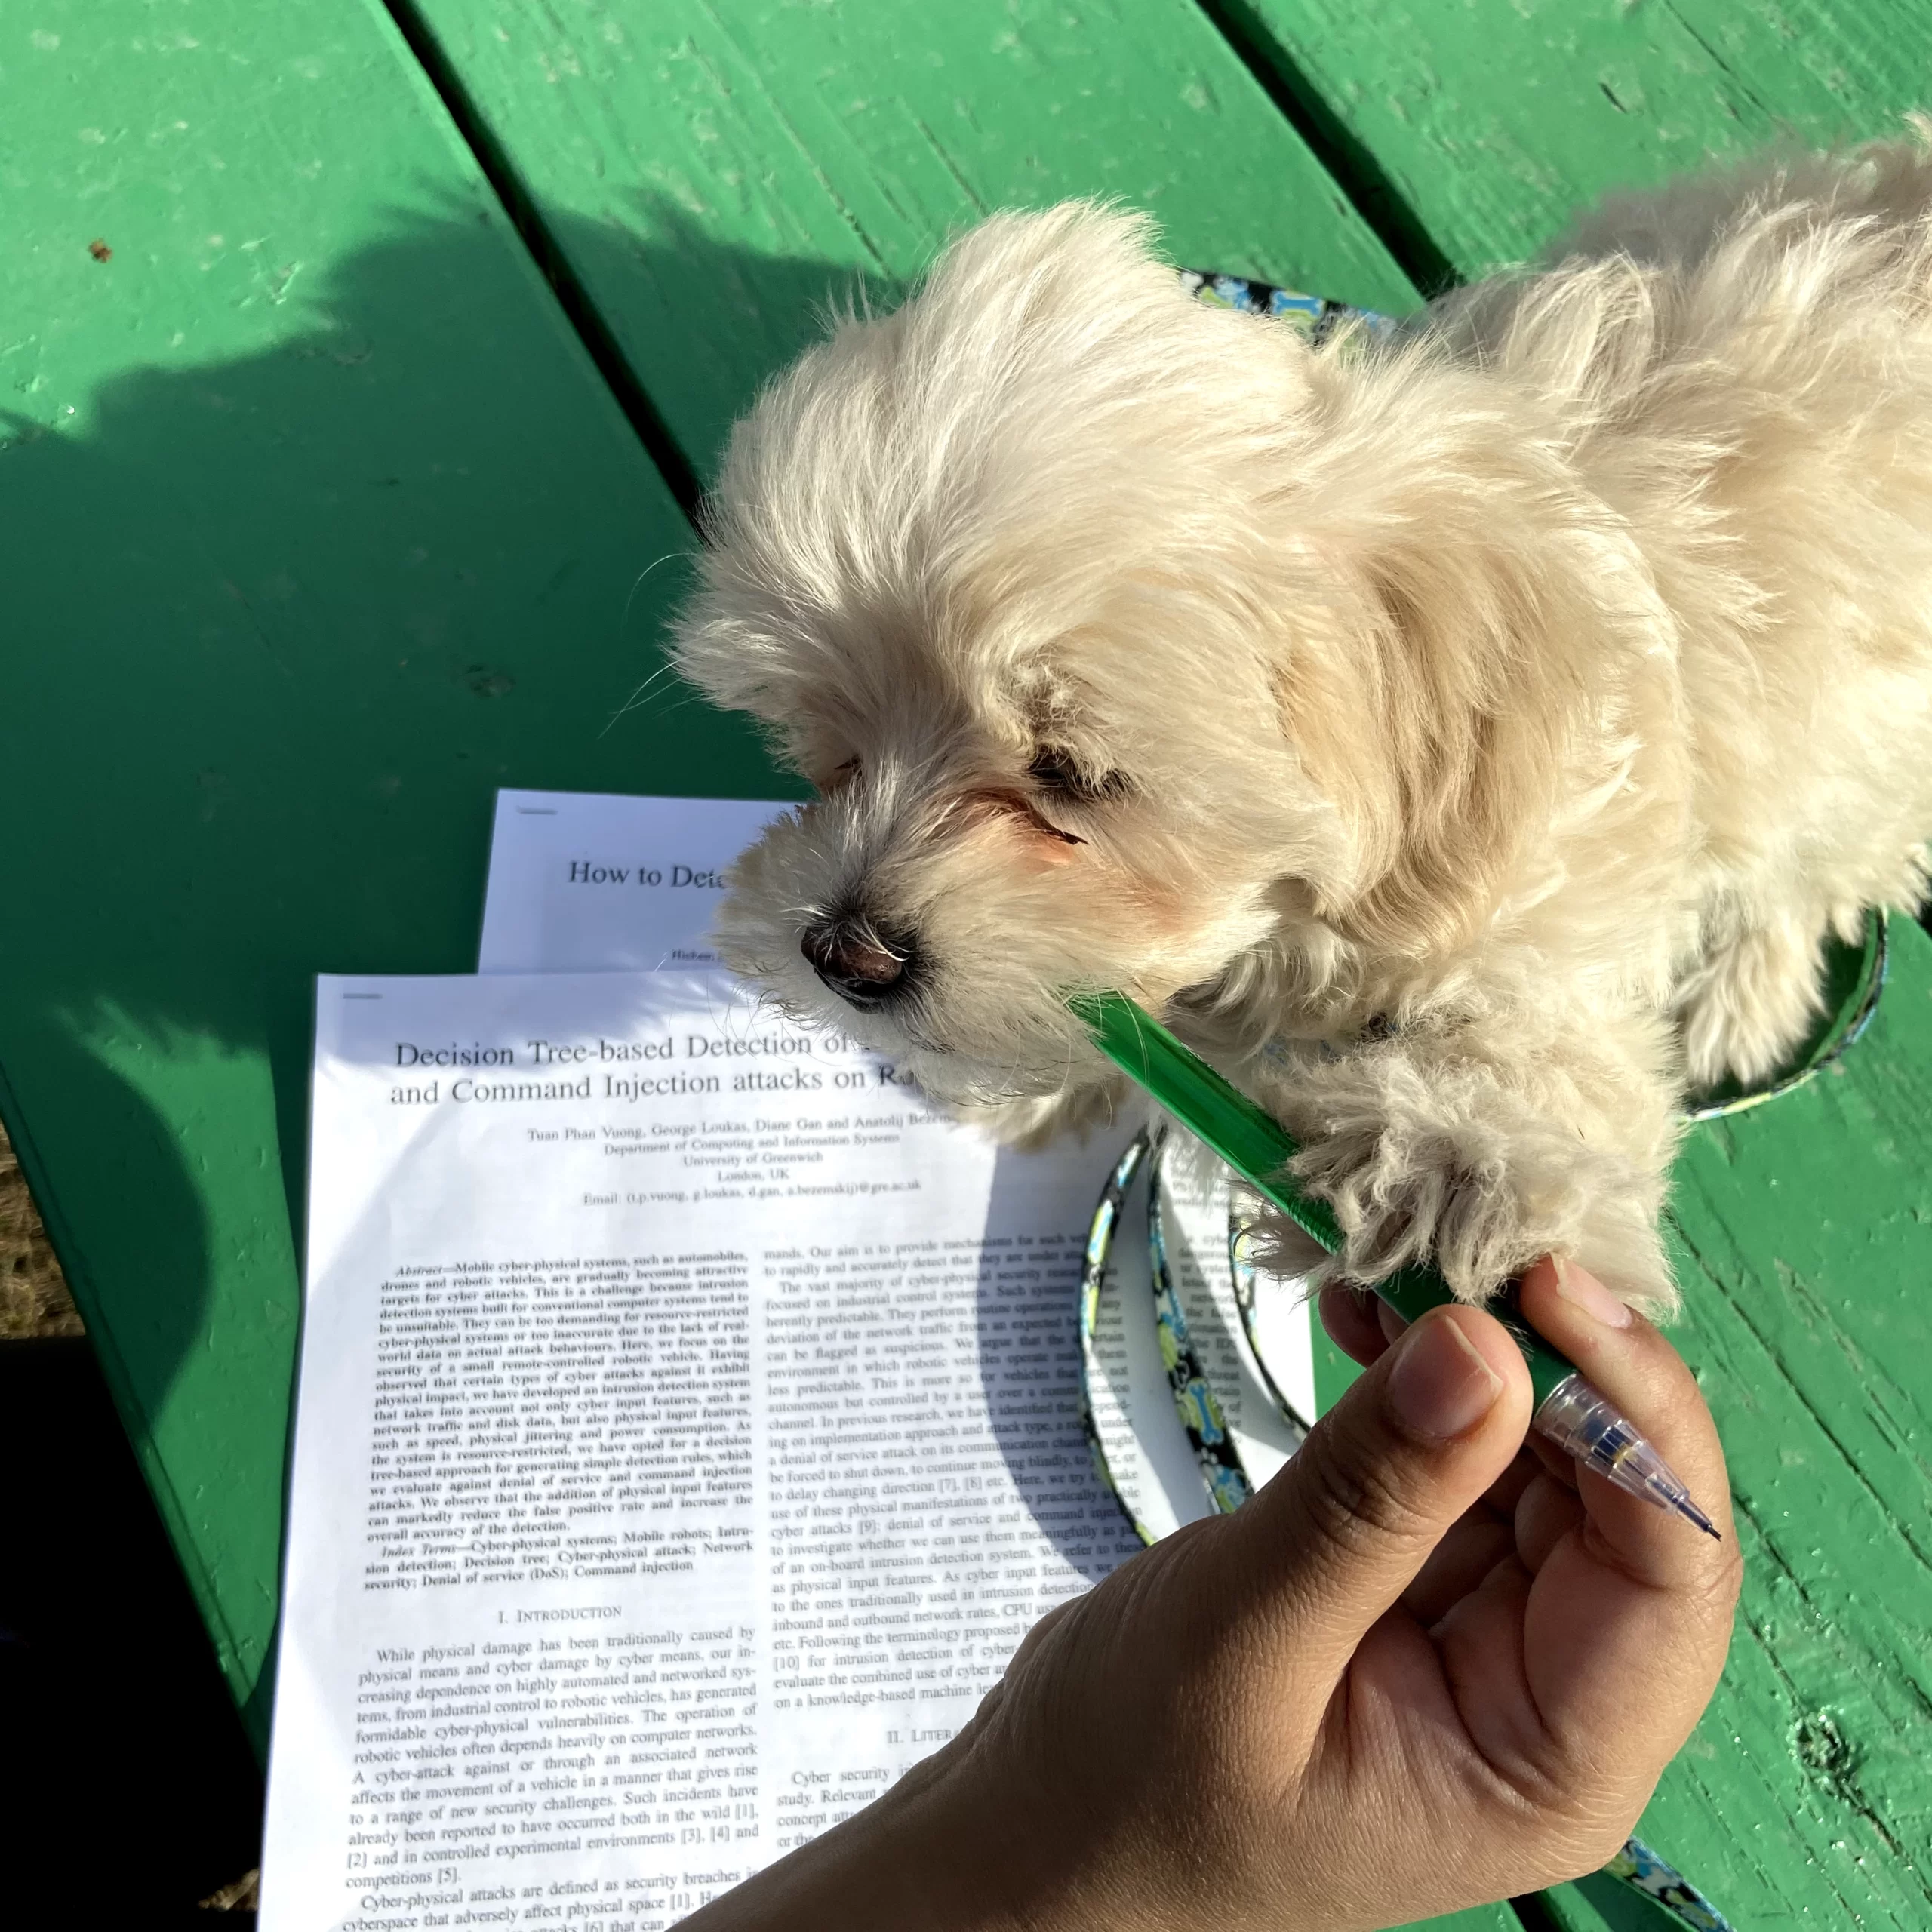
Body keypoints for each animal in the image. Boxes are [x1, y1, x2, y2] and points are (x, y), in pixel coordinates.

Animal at [668, 140, 1932, 1313]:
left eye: (1072, 776)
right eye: (829, 745)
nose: (845, 955)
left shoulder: (1556, 898)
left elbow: (1553, 1049)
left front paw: (1457, 1159)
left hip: (1860, 756)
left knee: (1820, 872)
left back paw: (1746, 991)